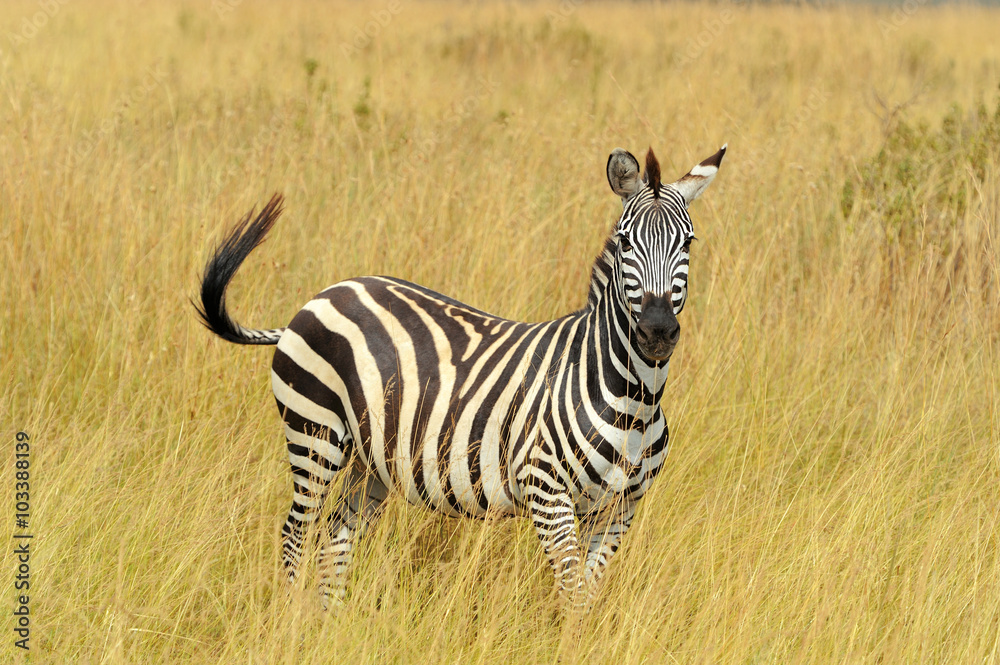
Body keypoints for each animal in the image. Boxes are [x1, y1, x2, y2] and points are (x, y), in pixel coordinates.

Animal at [195, 144, 726, 609]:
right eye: (624, 242)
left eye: (688, 242)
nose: (657, 332)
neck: (633, 398)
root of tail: (323, 295)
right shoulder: (547, 491)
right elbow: (573, 593)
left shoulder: (619, 510)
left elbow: (586, 597)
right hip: (314, 435)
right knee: (295, 534)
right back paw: (292, 628)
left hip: (370, 463)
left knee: (333, 542)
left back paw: (331, 628)